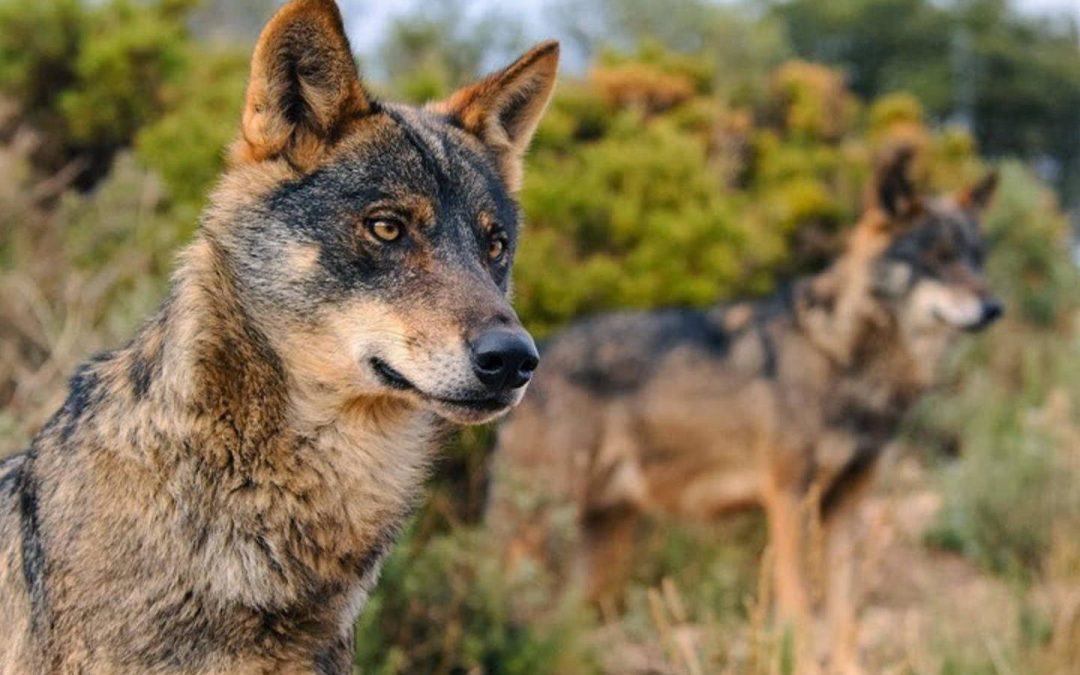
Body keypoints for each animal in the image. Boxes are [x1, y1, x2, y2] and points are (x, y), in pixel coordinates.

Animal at [489, 147, 1001, 671]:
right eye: (936, 258)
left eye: (976, 259)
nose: (993, 308)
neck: (841, 355)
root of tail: (535, 357)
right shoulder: (789, 498)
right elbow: (799, 609)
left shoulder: (846, 507)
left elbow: (844, 616)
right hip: (540, 530)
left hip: (600, 548)